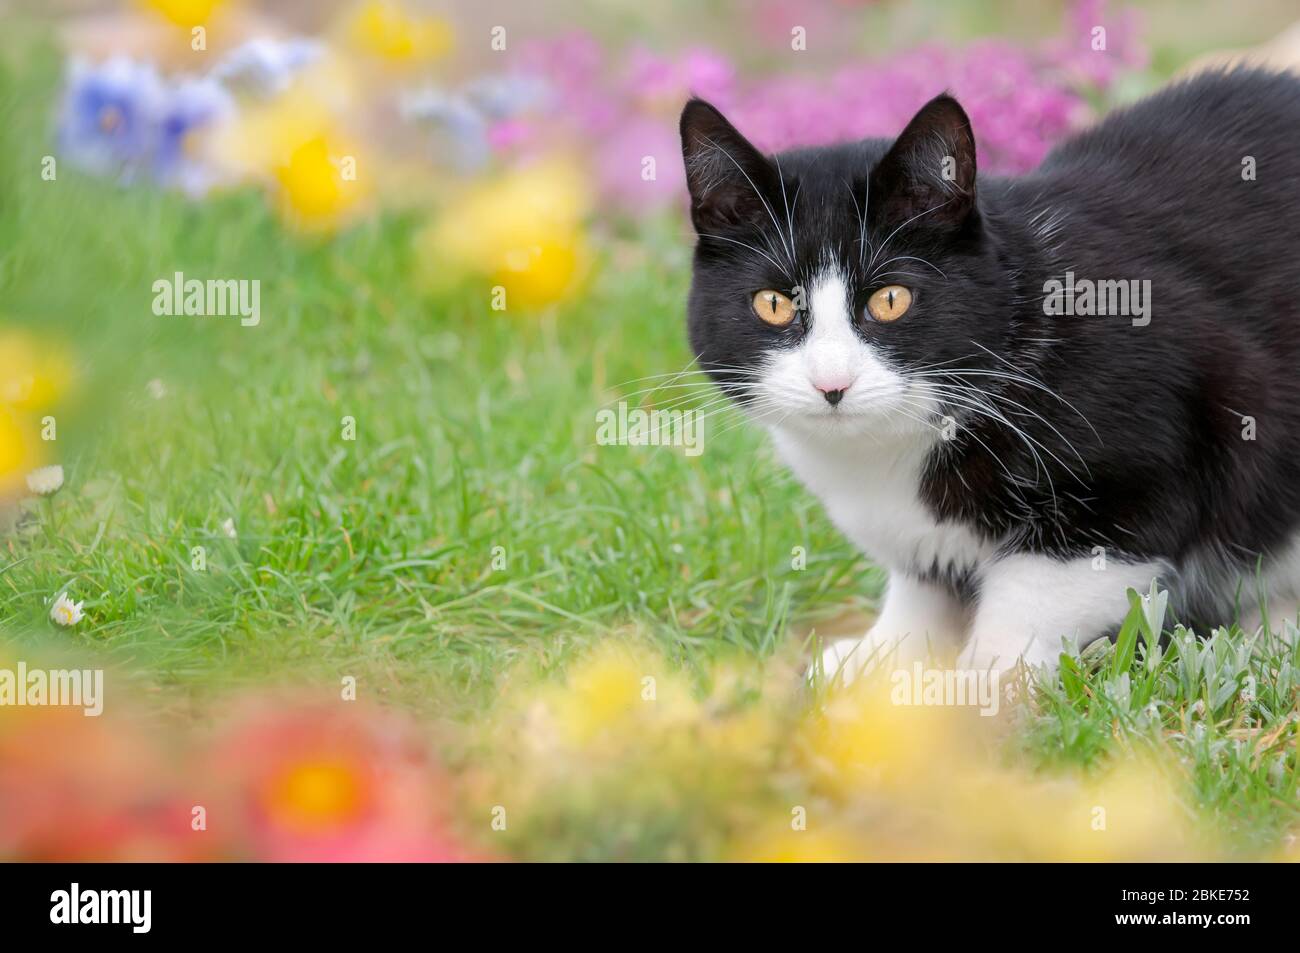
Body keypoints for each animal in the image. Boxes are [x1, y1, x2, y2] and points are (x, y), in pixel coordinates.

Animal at [681, 66, 1300, 676]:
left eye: (891, 300)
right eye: (773, 304)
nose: (832, 383)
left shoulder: (1141, 472)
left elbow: (1036, 596)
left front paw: (976, 687)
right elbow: (923, 585)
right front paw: (882, 658)